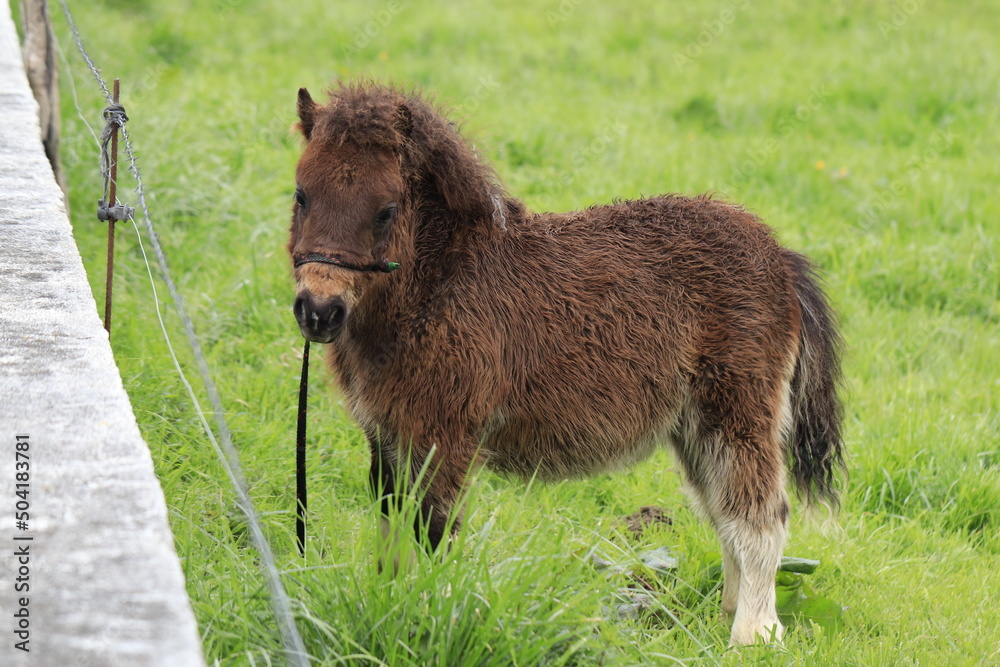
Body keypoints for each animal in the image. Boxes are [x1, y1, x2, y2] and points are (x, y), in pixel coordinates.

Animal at [288, 81, 844, 645]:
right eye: (301, 194)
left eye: (386, 209)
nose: (318, 311)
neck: (440, 285)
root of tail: (780, 259)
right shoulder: (386, 431)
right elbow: (392, 524)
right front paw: (389, 604)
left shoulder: (444, 433)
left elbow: (434, 530)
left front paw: (427, 619)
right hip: (694, 426)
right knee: (723, 510)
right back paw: (727, 612)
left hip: (738, 411)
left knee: (760, 514)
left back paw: (754, 633)